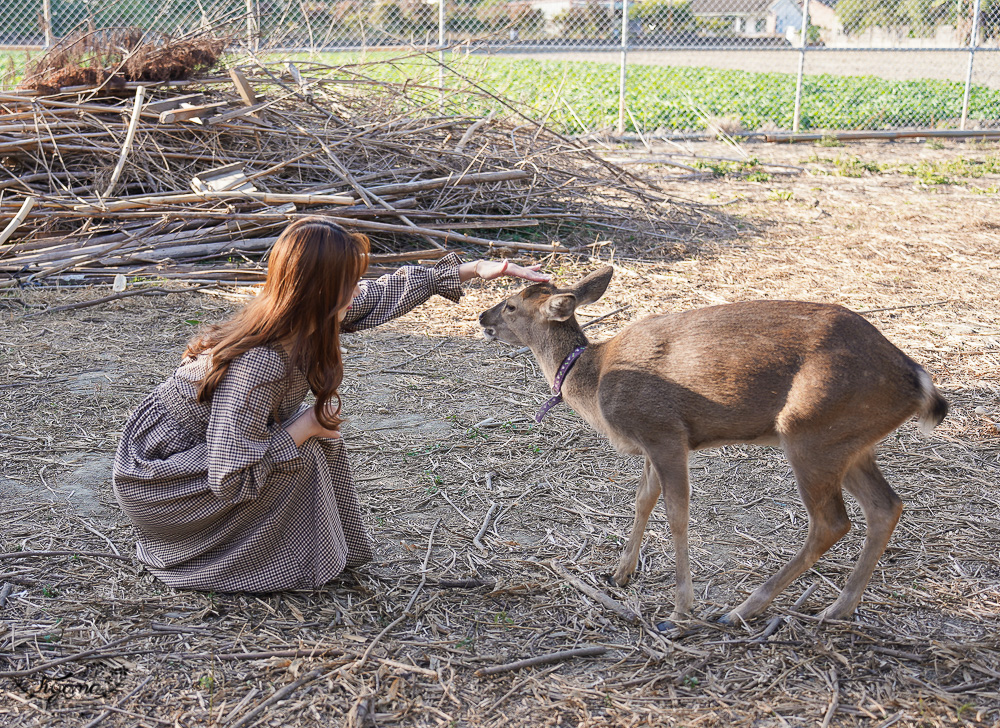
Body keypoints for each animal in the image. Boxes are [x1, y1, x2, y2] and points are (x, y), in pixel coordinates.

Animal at [480, 268, 948, 624]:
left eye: (510, 305)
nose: (483, 317)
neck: (593, 385)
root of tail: (916, 381)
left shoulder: (663, 431)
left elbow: (677, 514)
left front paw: (680, 609)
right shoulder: (652, 443)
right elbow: (642, 499)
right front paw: (621, 573)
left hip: (810, 430)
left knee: (832, 522)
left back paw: (742, 609)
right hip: (850, 440)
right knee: (885, 505)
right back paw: (837, 608)